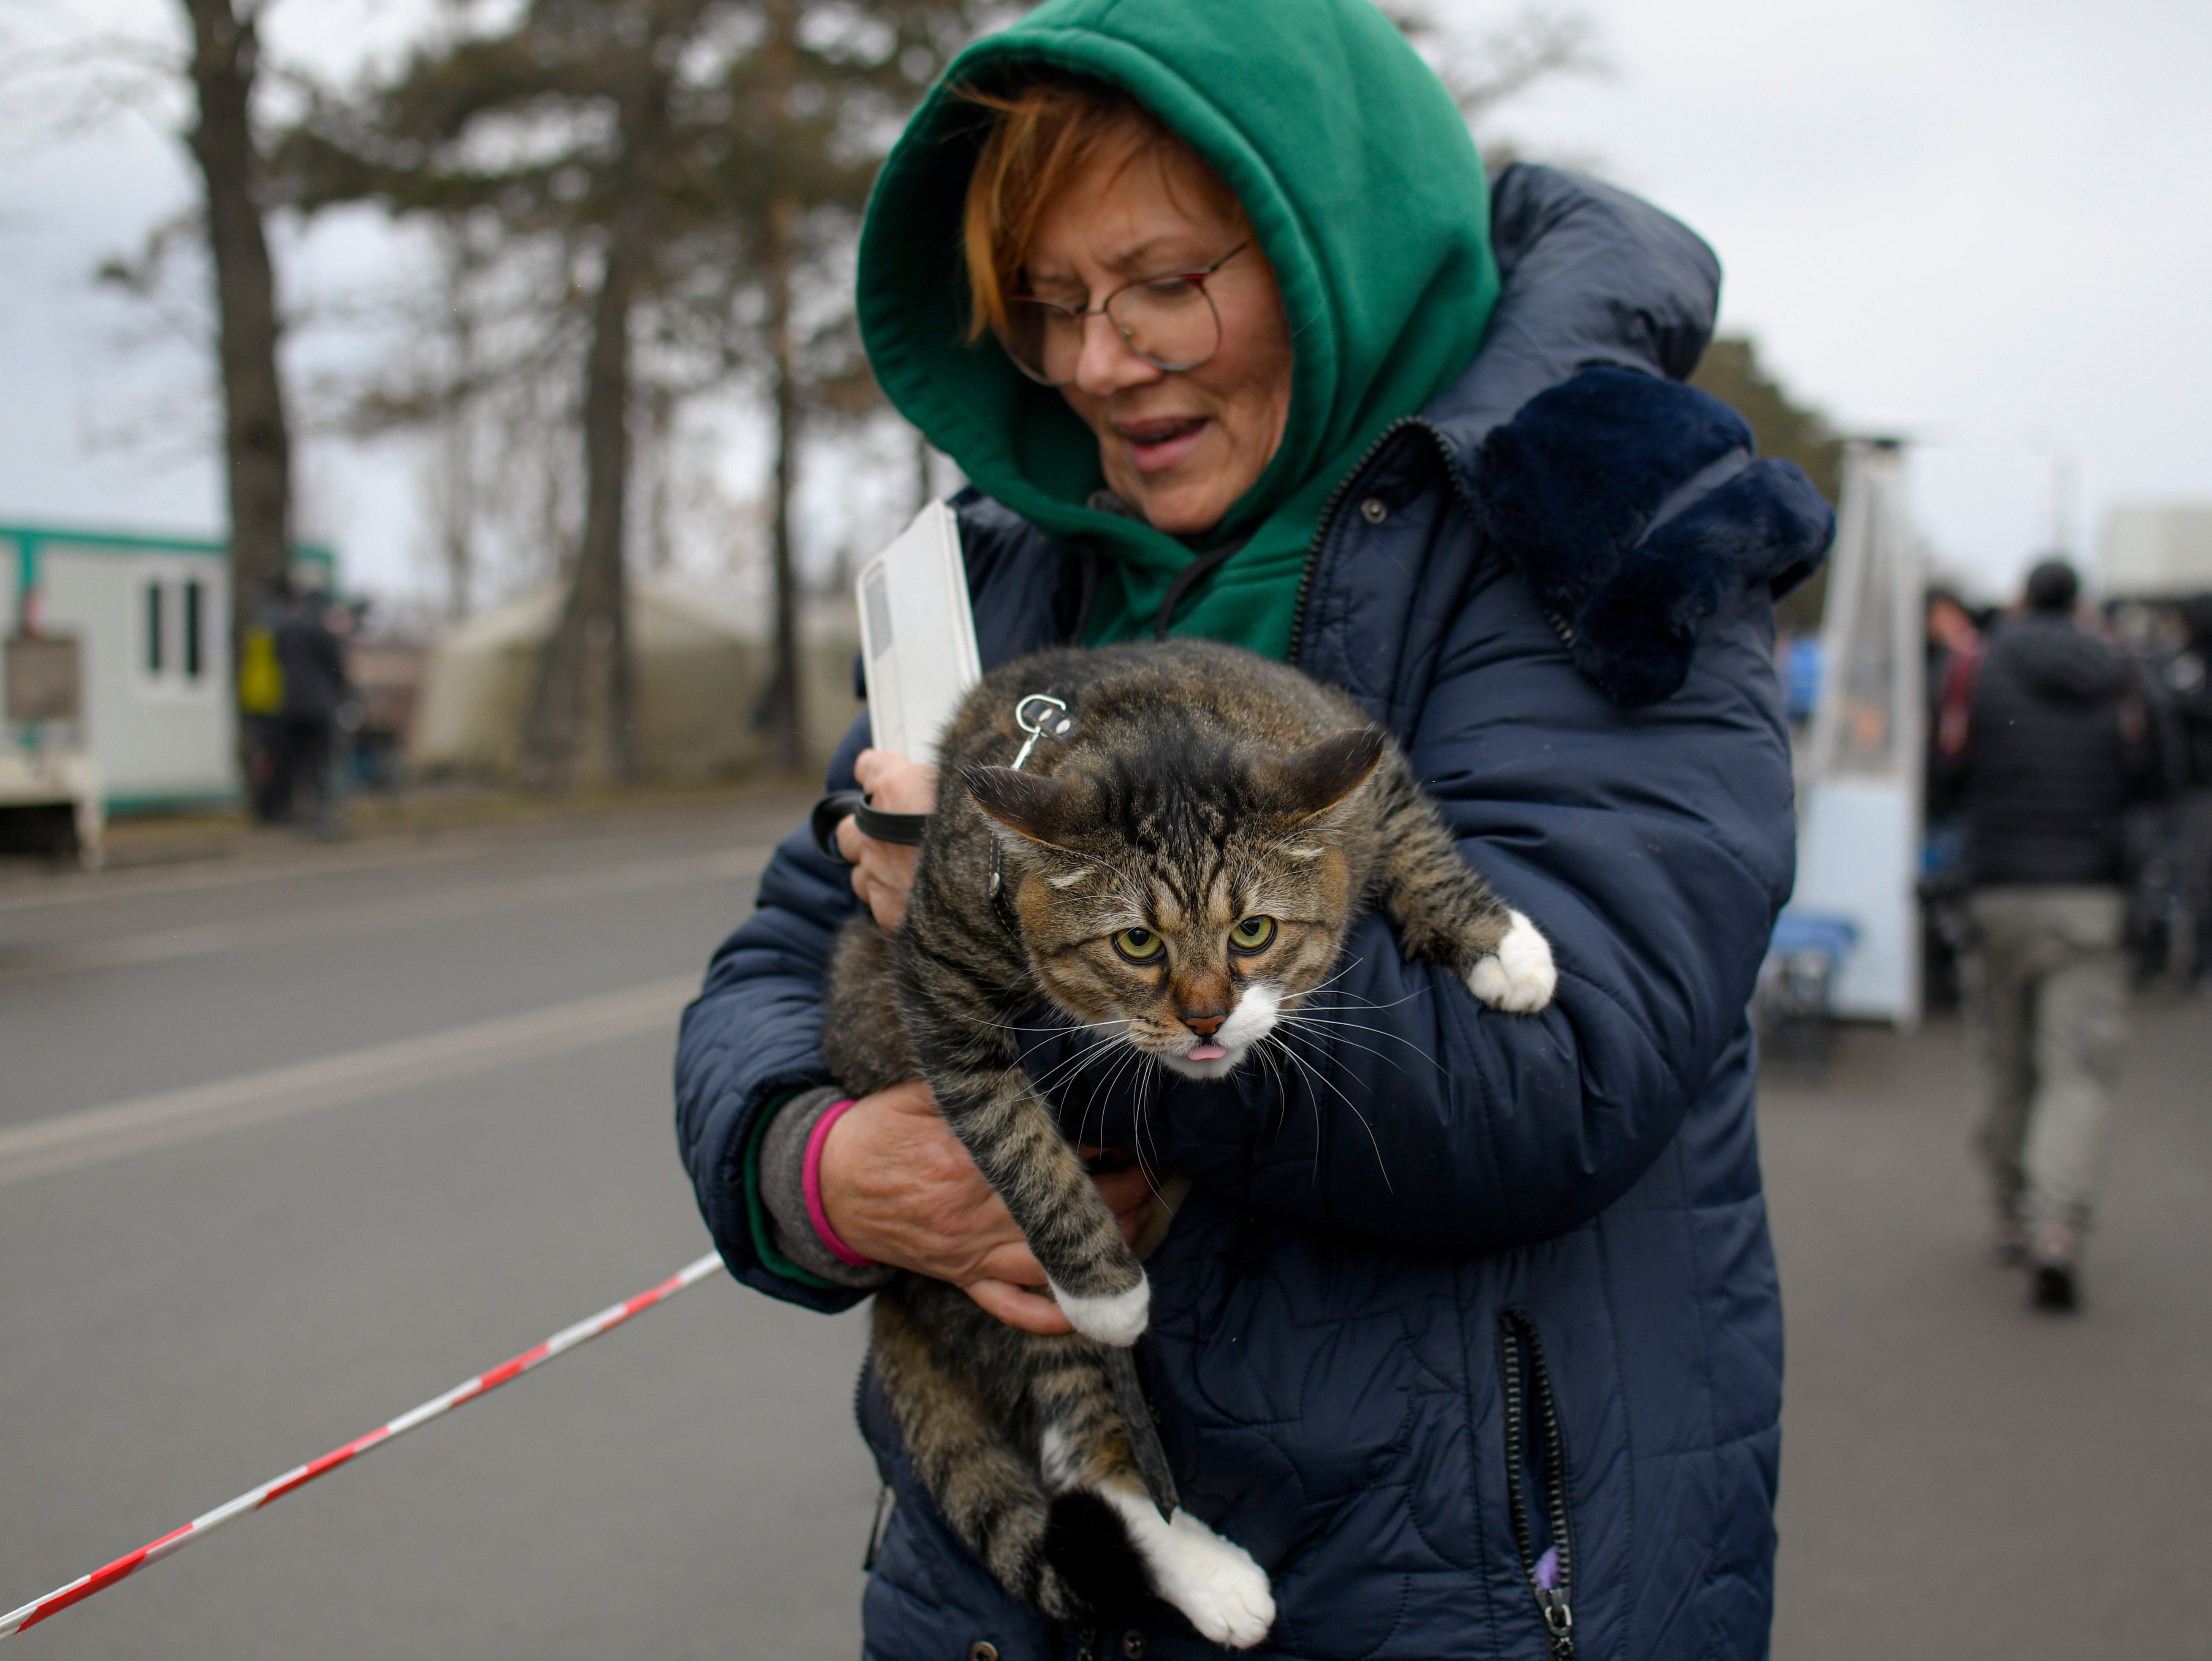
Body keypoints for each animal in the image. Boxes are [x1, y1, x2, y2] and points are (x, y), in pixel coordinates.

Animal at [818, 641, 1557, 1654]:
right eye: (1135, 942)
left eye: (1253, 930)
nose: (1206, 1017)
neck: (1158, 722)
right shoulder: (936, 985)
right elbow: (1016, 1143)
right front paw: (1104, 1288)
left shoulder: (1349, 752)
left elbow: (1416, 838)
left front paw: (1500, 945)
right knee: (1084, 1451)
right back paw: (1207, 1572)